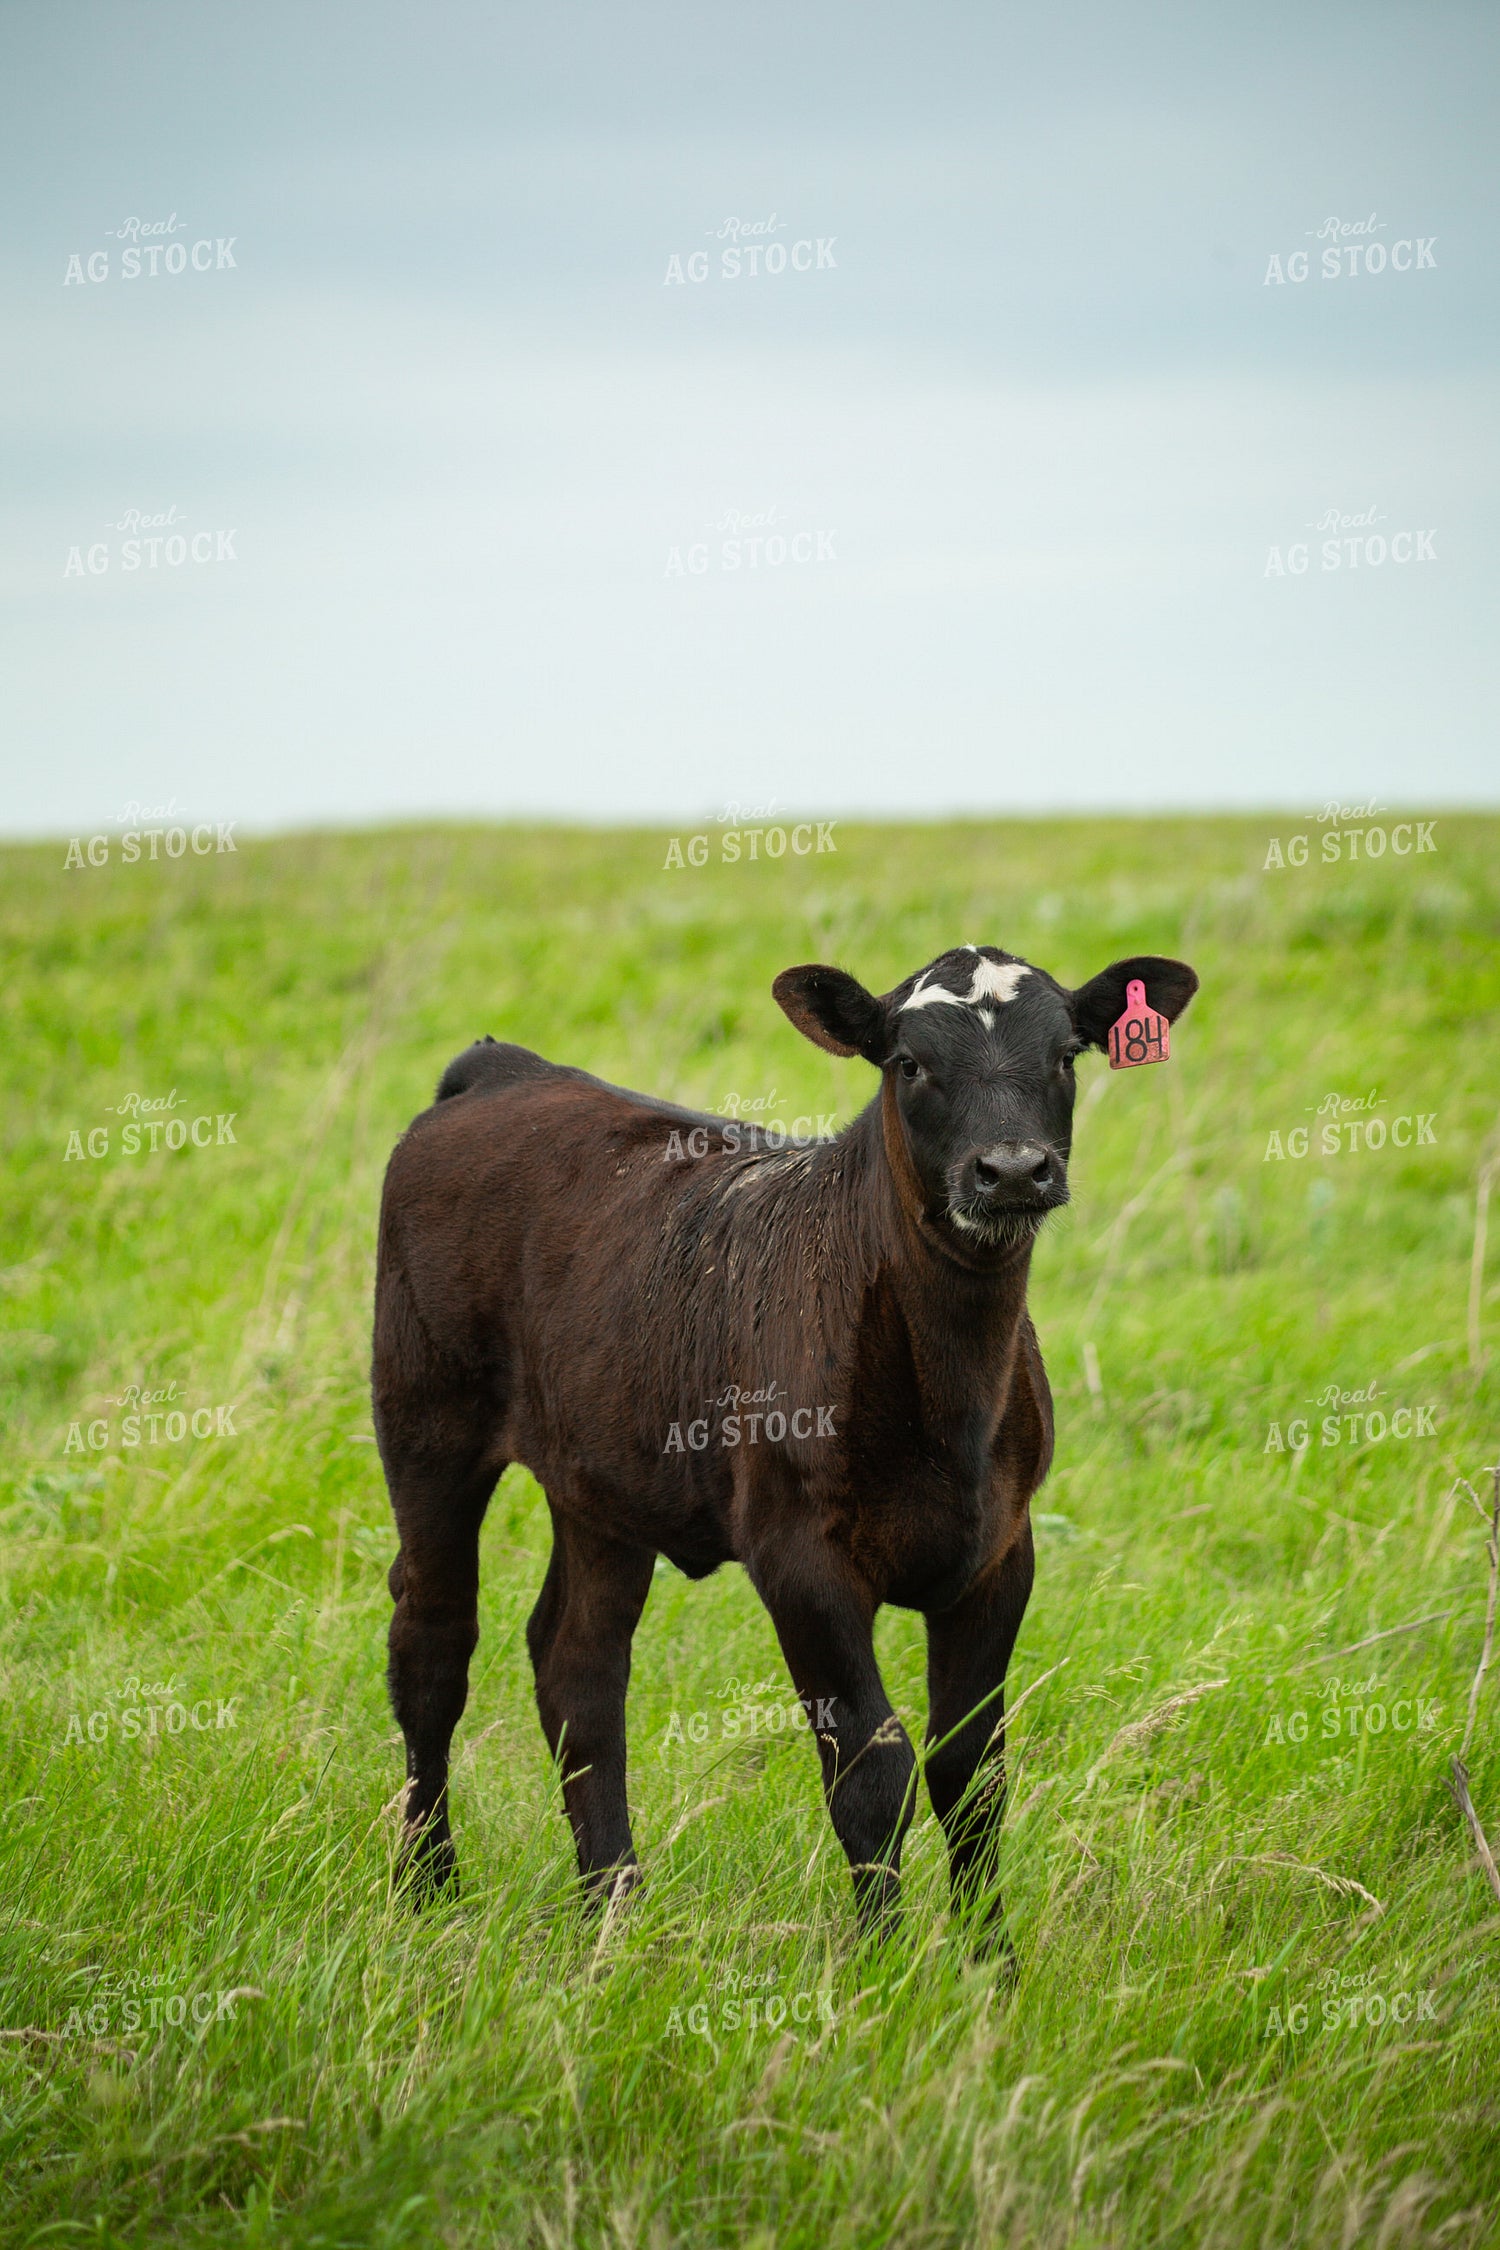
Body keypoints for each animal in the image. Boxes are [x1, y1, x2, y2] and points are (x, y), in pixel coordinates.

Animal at [373, 944, 1198, 1950]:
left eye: (1065, 1056)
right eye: (909, 1064)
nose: (1010, 1170)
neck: (950, 1394)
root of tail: (505, 1070)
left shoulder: (1002, 1552)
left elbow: (971, 1771)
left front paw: (988, 1964)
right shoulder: (799, 1557)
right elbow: (873, 1771)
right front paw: (886, 1966)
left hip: (601, 1477)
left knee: (579, 1668)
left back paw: (613, 1909)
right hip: (426, 1419)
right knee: (433, 1642)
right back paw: (428, 1889)